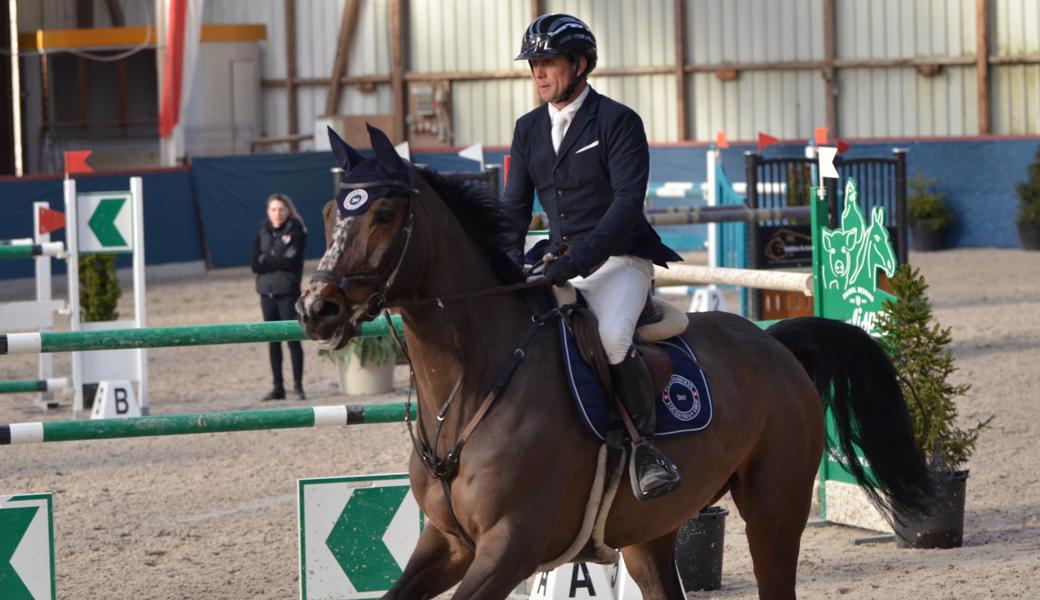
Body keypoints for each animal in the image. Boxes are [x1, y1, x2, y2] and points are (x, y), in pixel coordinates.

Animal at [297, 123, 931, 594]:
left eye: (382, 216)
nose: (315, 308)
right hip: (651, 530)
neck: (470, 385)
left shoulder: (510, 545)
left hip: (774, 511)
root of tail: (773, 344)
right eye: (330, 214)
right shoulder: (449, 544)